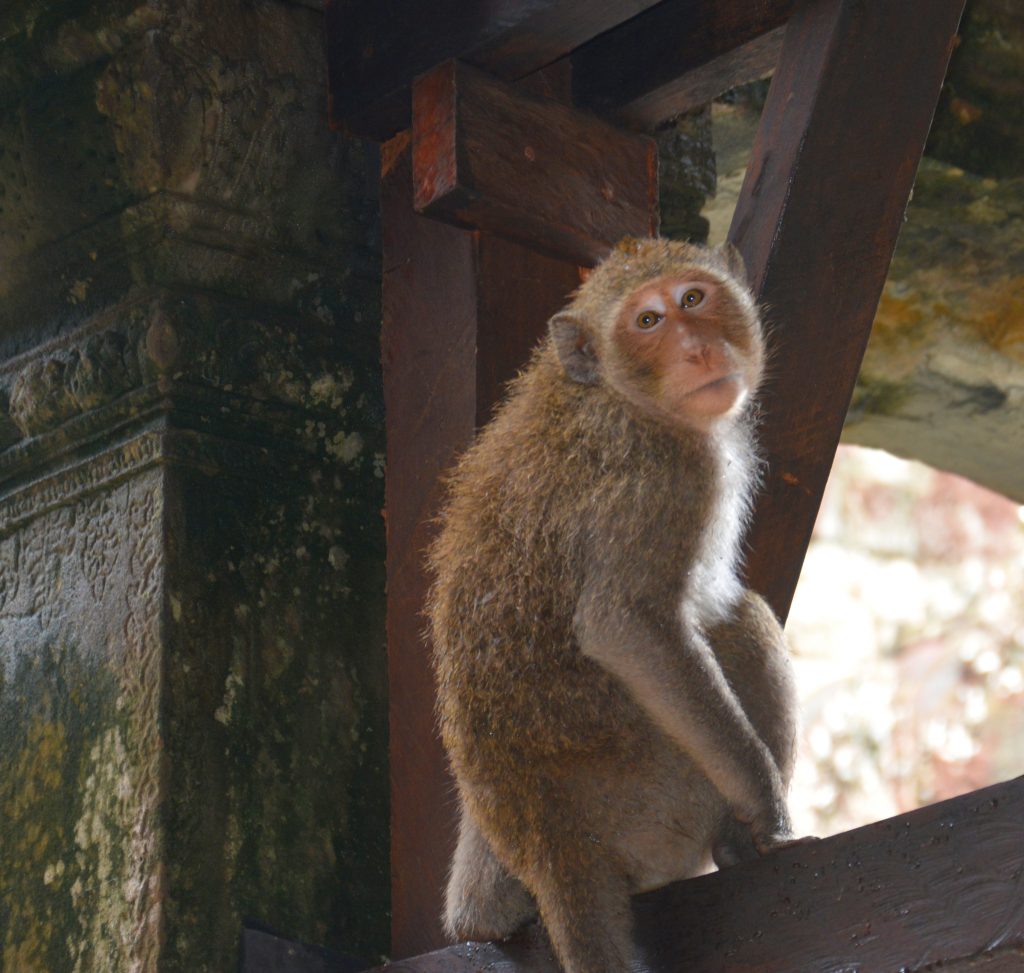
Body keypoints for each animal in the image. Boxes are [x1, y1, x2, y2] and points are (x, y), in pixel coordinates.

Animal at [423, 237, 798, 973]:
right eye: (648, 322)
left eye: (693, 299)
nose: (697, 349)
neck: (615, 394)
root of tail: (552, 840)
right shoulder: (661, 476)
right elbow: (626, 628)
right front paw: (763, 802)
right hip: (655, 802)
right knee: (743, 622)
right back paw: (737, 843)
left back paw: (482, 909)